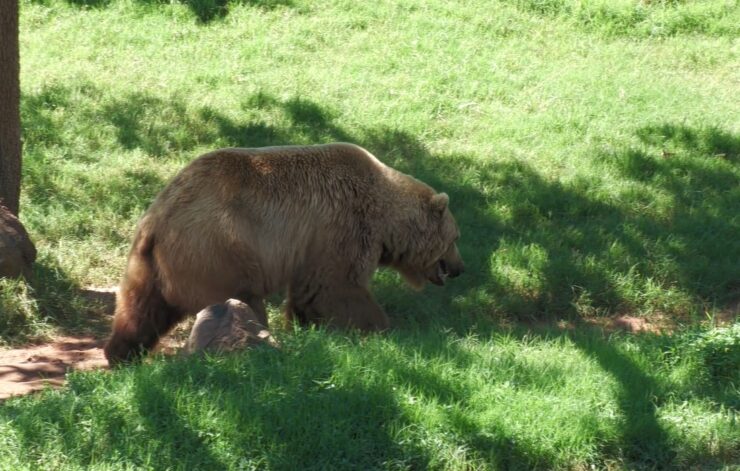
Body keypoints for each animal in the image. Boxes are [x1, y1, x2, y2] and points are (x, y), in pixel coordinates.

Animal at [104, 143, 462, 366]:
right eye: (455, 237)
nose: (460, 268)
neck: (385, 218)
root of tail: (158, 217)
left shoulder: (314, 246)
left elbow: (309, 293)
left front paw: (309, 329)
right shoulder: (341, 227)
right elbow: (339, 286)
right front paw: (380, 327)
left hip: (152, 262)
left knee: (142, 307)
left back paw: (121, 354)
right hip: (219, 249)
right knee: (242, 302)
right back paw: (256, 344)